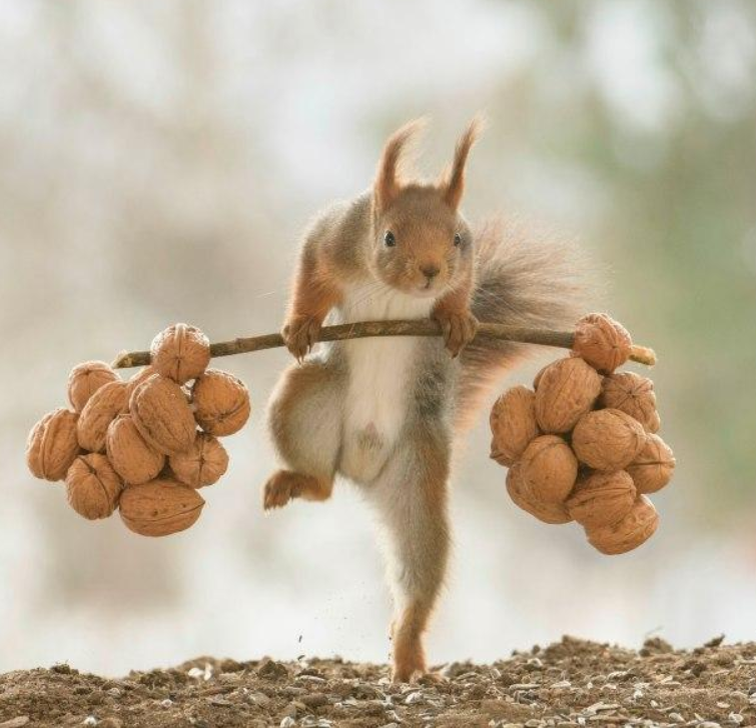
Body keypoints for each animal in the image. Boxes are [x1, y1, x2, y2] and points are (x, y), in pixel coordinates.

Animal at [264, 118, 584, 684]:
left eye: (456, 237)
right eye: (388, 237)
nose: (431, 270)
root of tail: (360, 467)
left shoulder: (467, 261)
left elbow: (463, 291)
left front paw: (456, 318)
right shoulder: (333, 237)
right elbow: (310, 275)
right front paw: (300, 324)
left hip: (417, 473)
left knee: (418, 566)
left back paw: (408, 653)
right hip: (304, 401)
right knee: (320, 483)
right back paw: (302, 480)